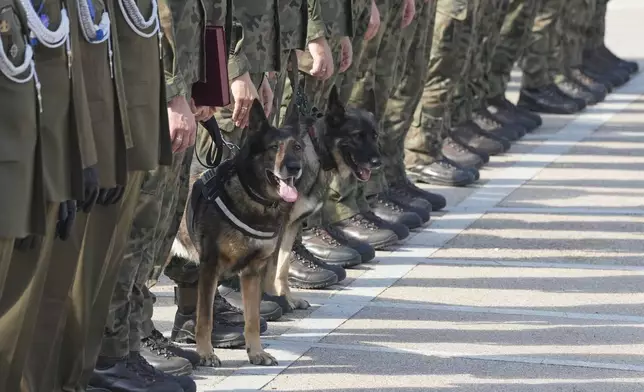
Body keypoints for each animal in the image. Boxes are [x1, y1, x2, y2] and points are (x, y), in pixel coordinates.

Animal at [177, 86, 382, 368]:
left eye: (374, 135)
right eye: (357, 136)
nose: (378, 161)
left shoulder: (288, 229)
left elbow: (280, 269)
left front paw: (283, 303)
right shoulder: (215, 264)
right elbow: (209, 315)